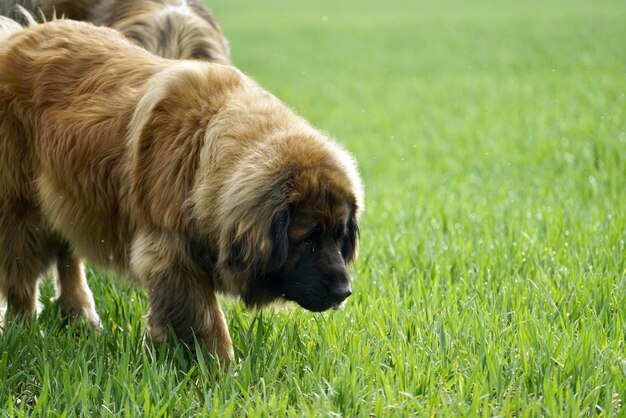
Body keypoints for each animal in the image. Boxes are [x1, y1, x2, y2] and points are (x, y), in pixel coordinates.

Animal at [0, 18, 360, 362]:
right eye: (308, 238)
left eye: (339, 235)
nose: (344, 291)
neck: (204, 149)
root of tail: (16, 36)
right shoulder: (172, 255)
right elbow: (207, 318)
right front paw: (223, 369)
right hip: (21, 211)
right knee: (22, 278)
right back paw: (24, 331)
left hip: (66, 198)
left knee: (67, 255)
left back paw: (80, 315)